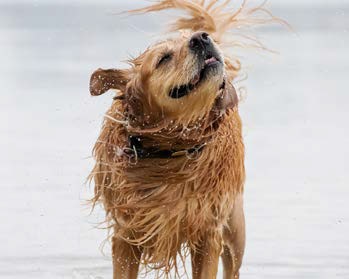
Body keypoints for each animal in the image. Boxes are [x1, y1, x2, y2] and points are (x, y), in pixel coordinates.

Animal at [88, 1, 278, 278]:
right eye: (164, 58)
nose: (201, 37)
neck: (170, 150)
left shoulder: (208, 230)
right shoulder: (126, 231)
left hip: (234, 228)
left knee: (233, 265)